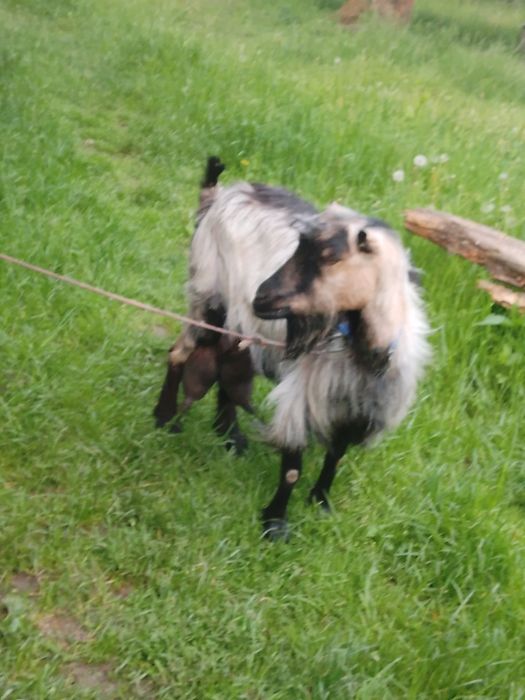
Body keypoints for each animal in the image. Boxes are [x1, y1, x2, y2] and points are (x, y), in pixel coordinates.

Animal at [154, 157, 431, 540]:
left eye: (330, 257)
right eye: (297, 247)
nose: (261, 297)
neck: (365, 352)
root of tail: (217, 194)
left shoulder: (352, 404)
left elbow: (336, 455)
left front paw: (321, 501)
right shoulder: (304, 395)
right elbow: (291, 469)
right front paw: (275, 525)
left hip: (236, 325)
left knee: (226, 367)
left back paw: (230, 436)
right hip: (207, 298)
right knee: (179, 352)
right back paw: (164, 417)